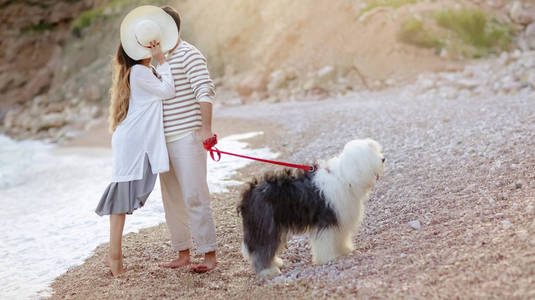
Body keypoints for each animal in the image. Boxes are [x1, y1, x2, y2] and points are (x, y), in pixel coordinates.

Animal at [239, 137, 386, 278]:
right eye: (371, 152)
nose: (383, 158)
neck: (344, 176)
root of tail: (250, 192)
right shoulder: (326, 220)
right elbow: (325, 241)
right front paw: (328, 258)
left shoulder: (339, 218)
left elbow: (340, 237)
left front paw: (344, 250)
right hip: (267, 226)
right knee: (262, 248)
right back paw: (267, 271)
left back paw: (275, 262)